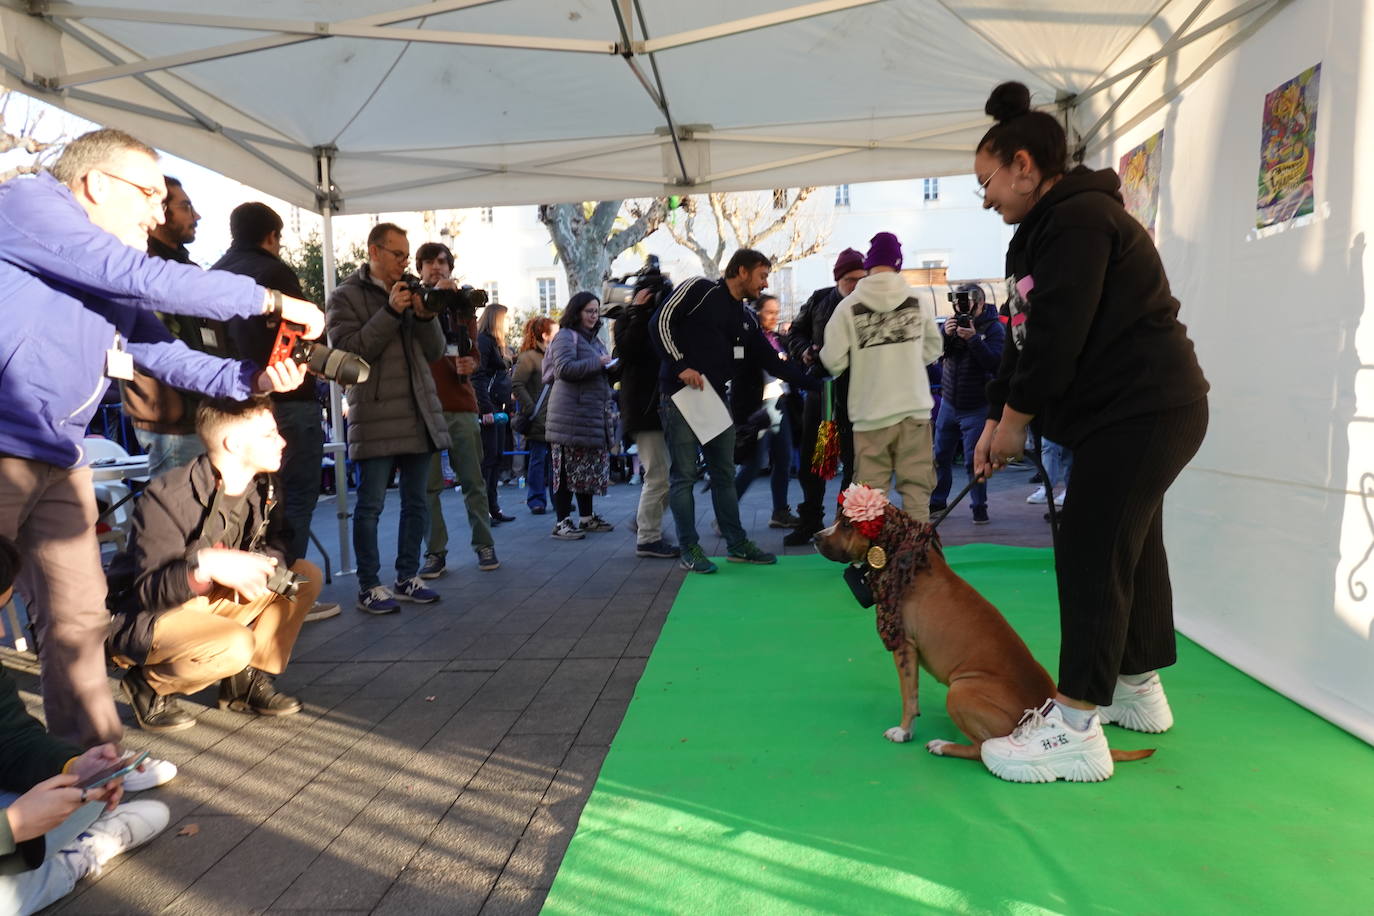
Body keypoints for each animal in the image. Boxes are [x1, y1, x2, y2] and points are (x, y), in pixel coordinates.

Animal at [807, 513, 1154, 763]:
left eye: (848, 524)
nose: (814, 537)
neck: (906, 559)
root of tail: (1038, 712)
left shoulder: (905, 647)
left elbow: (909, 695)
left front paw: (904, 732)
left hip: (960, 691)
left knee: (981, 749)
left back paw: (943, 745)